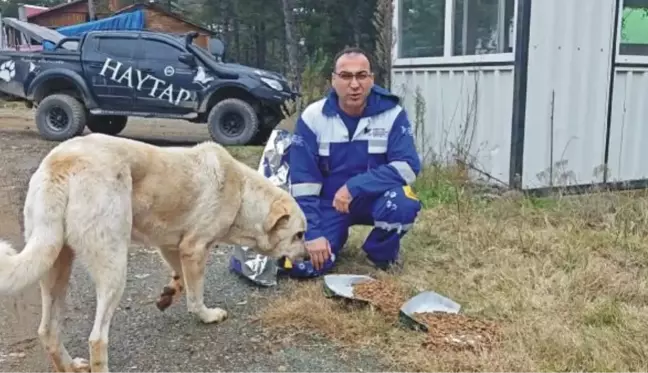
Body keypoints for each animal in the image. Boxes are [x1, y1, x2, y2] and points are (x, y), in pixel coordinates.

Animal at [0, 134, 306, 372]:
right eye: (299, 235)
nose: (306, 258)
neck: (243, 193)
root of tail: (61, 163)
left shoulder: (172, 247)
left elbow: (182, 280)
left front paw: (169, 293)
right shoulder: (194, 249)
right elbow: (196, 295)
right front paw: (206, 316)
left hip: (54, 264)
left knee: (48, 332)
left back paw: (69, 366)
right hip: (113, 267)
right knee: (97, 339)